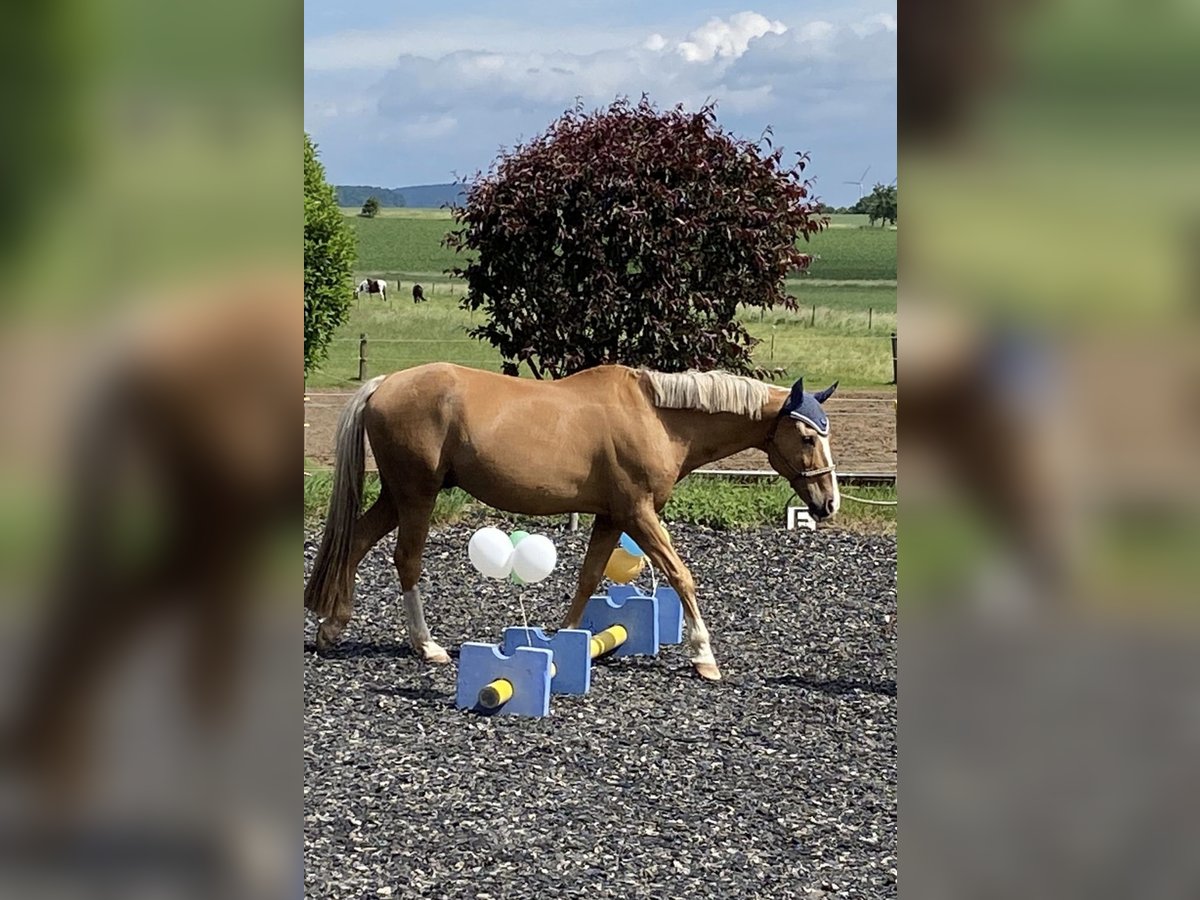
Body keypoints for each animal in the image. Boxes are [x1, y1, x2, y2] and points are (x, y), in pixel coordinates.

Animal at [304, 362, 840, 681]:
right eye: (807, 438)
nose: (828, 503)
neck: (657, 417)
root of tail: (385, 383)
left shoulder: (610, 516)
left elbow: (588, 577)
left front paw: (561, 642)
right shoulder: (639, 513)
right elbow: (680, 575)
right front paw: (703, 655)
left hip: (397, 496)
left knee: (356, 543)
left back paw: (333, 628)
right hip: (418, 495)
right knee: (406, 560)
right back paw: (426, 645)